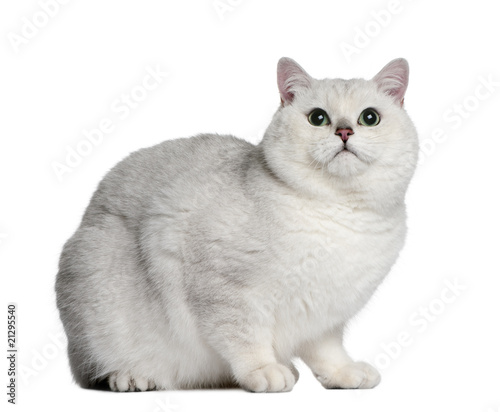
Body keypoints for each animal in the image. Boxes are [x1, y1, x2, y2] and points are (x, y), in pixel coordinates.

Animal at [55, 56, 418, 392]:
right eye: (318, 118)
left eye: (369, 118)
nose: (344, 131)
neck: (341, 214)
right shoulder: (227, 292)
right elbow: (246, 339)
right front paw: (264, 371)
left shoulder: (326, 315)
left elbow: (328, 351)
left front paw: (343, 373)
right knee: (97, 368)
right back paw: (133, 377)